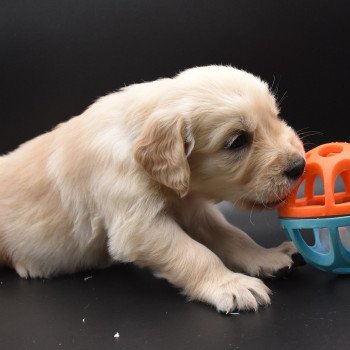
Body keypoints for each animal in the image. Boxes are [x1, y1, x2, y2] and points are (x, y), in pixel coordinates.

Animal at [0, 65, 304, 312]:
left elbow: (233, 235)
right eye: (238, 141)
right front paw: (230, 284)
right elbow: (194, 254)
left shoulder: (193, 208)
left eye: (275, 117)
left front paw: (266, 257)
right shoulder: (139, 225)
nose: (299, 166)